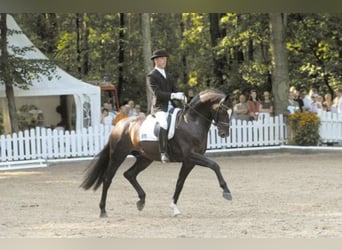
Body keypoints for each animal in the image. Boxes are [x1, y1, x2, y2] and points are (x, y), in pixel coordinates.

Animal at [81, 89, 234, 217]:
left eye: (231, 113)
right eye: (223, 110)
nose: (224, 134)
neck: (191, 122)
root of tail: (119, 124)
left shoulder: (189, 162)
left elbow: (180, 183)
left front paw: (174, 207)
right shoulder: (190, 156)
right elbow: (214, 165)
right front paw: (226, 191)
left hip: (145, 158)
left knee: (130, 174)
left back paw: (141, 201)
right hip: (118, 155)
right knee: (107, 178)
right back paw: (103, 211)